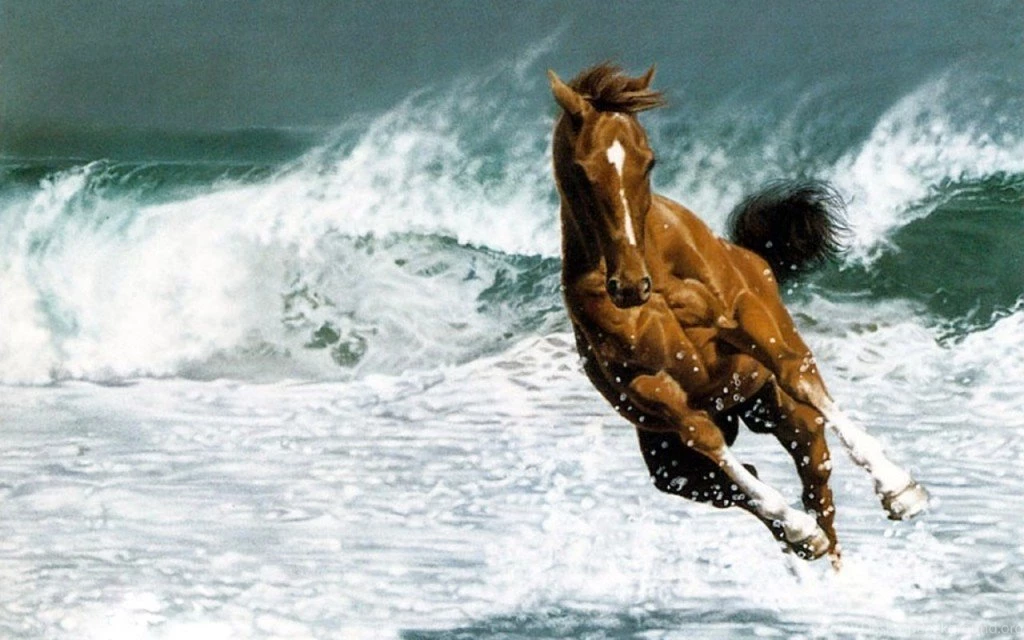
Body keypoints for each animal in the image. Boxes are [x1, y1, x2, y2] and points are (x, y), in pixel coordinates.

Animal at [548, 63, 929, 566]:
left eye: (648, 161)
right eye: (582, 170)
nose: (630, 287)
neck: (655, 264)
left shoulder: (741, 316)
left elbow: (794, 373)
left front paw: (900, 489)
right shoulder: (648, 385)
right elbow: (706, 439)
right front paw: (798, 529)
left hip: (782, 412)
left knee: (816, 478)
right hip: (672, 463)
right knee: (738, 483)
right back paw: (801, 537)